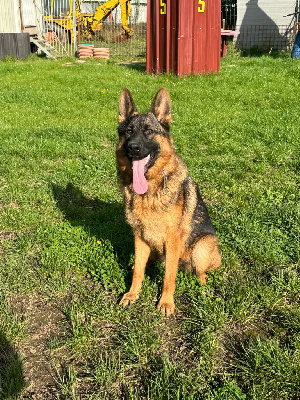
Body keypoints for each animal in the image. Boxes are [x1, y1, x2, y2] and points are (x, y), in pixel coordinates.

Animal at [116, 87, 221, 316]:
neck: (149, 190)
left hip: (201, 247)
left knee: (200, 270)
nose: (133, 148)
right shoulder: (139, 237)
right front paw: (132, 294)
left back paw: (202, 283)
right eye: (128, 132)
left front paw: (165, 303)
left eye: (148, 131)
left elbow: (168, 277)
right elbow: (138, 272)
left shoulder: (172, 240)